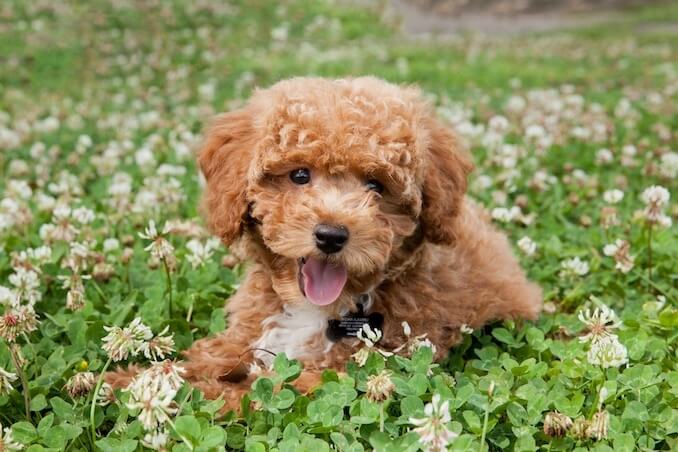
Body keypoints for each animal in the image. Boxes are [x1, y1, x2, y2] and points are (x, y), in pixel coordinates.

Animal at [107, 77, 540, 410]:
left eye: (375, 185)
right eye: (300, 175)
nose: (331, 235)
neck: (316, 308)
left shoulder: (334, 376)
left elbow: (246, 394)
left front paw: (163, 392)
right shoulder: (246, 334)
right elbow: (204, 357)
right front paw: (128, 380)